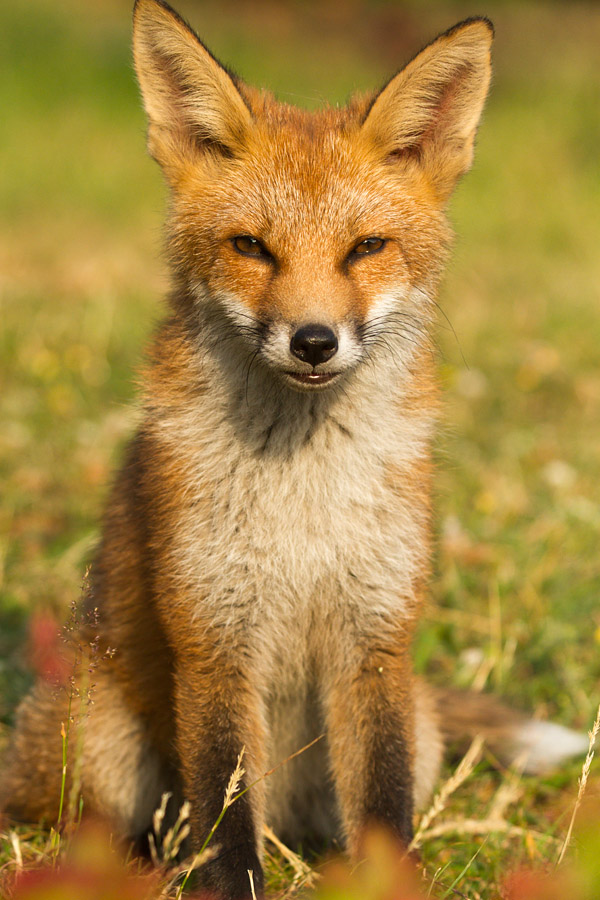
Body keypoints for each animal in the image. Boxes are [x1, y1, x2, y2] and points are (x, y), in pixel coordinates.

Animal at [0, 2, 589, 898]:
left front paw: (385, 882)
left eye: (366, 248)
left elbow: (380, 800)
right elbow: (224, 810)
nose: (314, 340)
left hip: (420, 732)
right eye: (251, 247)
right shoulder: (213, 637)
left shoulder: (375, 636)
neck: (303, 497)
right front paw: (232, 883)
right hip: (98, 742)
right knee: (113, 823)